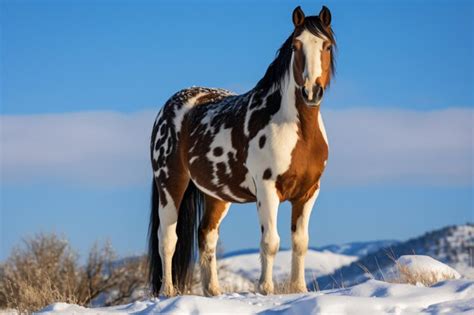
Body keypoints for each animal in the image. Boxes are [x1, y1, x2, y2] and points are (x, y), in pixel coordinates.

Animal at [149, 4, 336, 298]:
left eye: (326, 46)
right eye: (296, 46)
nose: (310, 92)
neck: (297, 130)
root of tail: (168, 109)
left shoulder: (308, 192)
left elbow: (300, 241)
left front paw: (299, 289)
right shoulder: (268, 189)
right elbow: (270, 241)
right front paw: (265, 289)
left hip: (216, 195)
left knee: (206, 236)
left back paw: (213, 292)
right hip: (170, 184)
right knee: (168, 239)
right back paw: (168, 292)